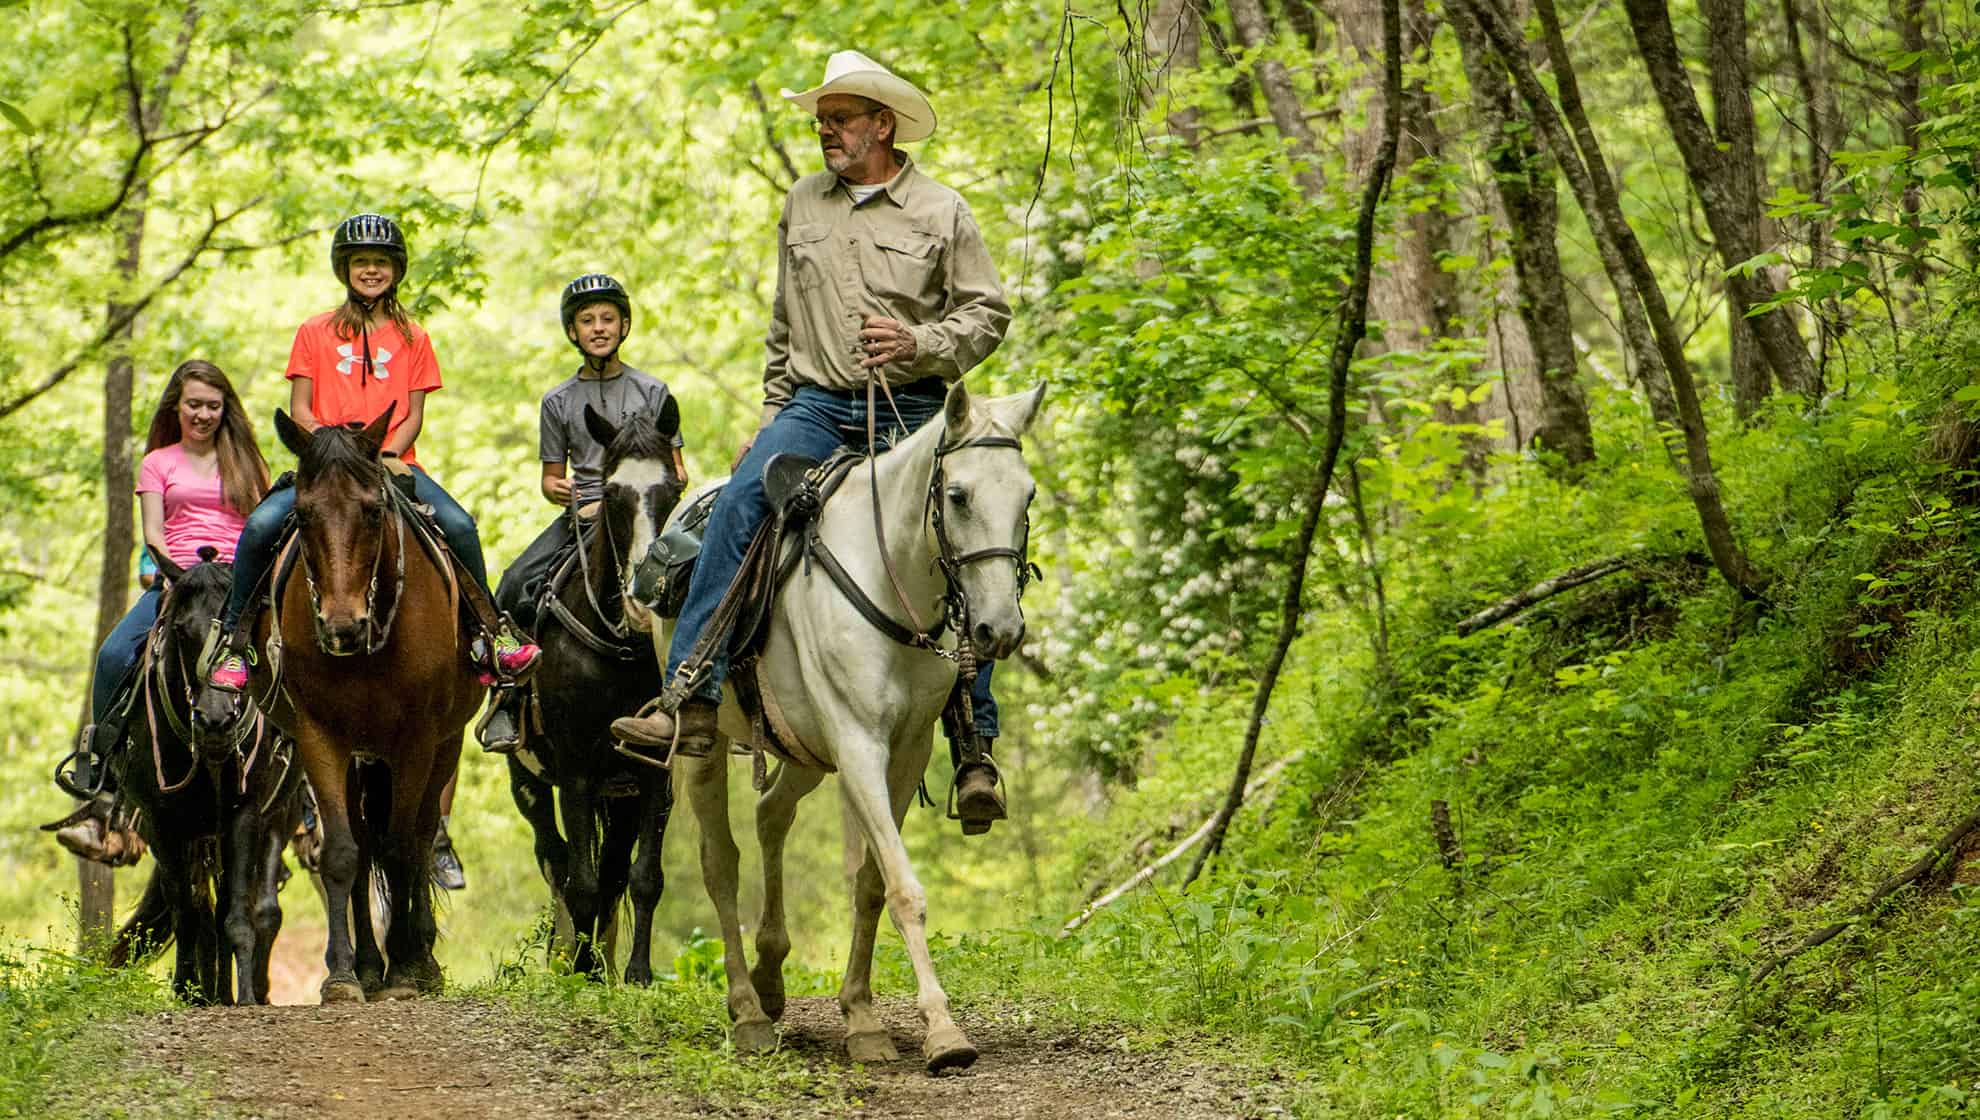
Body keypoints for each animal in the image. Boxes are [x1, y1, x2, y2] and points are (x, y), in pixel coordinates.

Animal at [109, 550, 304, 1005]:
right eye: (182, 629)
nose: (216, 721)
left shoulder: (244, 814)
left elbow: (236, 913)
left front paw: (246, 995)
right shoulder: (163, 822)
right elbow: (187, 913)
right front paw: (187, 991)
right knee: (199, 906)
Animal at [193, 407, 479, 1005]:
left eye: (373, 511)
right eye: (302, 515)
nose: (341, 627)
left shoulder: (417, 740)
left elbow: (402, 848)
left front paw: (404, 971)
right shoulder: (320, 737)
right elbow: (345, 853)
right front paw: (345, 976)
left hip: (444, 745)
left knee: (420, 840)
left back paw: (419, 959)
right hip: (359, 754)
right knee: (366, 845)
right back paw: (371, 966)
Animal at [506, 403, 685, 981]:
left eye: (673, 488)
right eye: (610, 493)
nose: (644, 600)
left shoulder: (653, 775)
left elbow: (642, 878)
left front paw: (635, 974)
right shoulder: (576, 773)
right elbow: (580, 881)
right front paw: (579, 972)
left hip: (621, 795)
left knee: (611, 871)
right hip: (529, 783)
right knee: (557, 859)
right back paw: (569, 956)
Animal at [657, 381, 1045, 1076]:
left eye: (1026, 496)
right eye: (958, 495)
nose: (998, 629)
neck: (891, 582)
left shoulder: (906, 752)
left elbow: (872, 884)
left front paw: (863, 1018)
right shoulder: (860, 744)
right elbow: (903, 887)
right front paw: (943, 1032)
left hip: (805, 748)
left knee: (771, 814)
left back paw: (770, 978)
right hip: (708, 748)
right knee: (720, 861)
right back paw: (748, 1011)